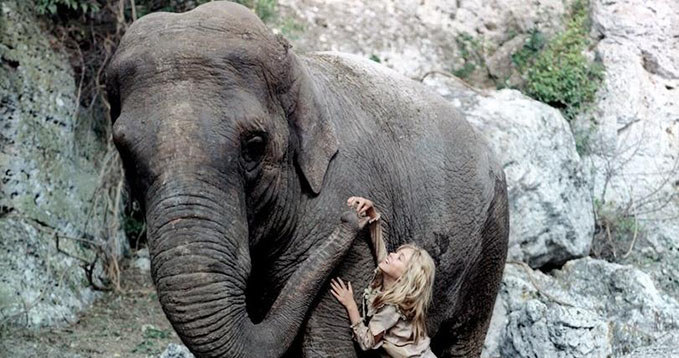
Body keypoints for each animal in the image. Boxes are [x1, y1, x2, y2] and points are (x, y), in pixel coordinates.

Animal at [107, 1, 510, 356]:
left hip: (490, 245)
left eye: (254, 146)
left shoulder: (343, 195)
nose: (356, 215)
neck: (298, 67)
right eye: (123, 150)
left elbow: (326, 343)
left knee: (464, 336)